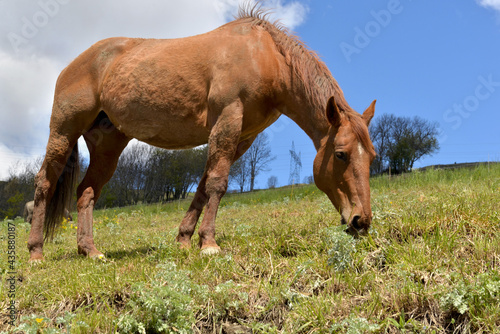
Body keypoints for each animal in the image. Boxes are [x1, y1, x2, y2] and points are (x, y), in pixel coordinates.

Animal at [27, 5, 376, 260]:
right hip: (63, 132)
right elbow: (218, 184)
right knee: (44, 182)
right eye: (341, 154)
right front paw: (209, 243)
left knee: (86, 192)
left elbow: (203, 185)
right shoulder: (228, 120)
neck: (263, 56)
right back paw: (36, 252)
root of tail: (75, 63)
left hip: (108, 144)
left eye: (372, 157)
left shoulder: (241, 137)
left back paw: (90, 251)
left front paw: (185, 240)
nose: (362, 221)